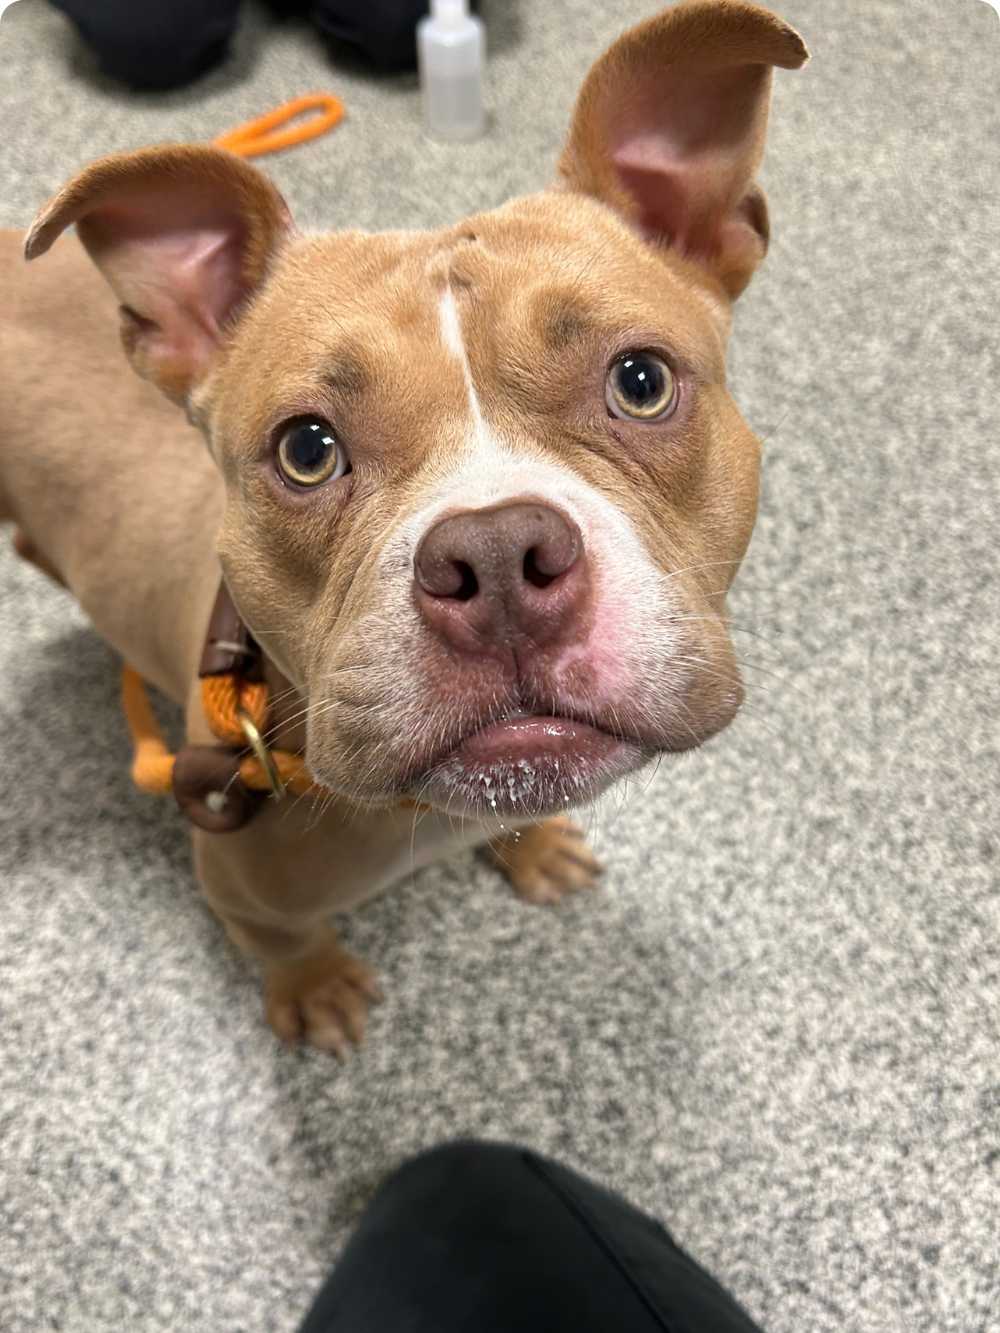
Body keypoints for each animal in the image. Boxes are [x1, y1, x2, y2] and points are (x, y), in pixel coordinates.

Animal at [0, 1, 807, 1053]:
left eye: (641, 380)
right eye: (306, 448)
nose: (498, 557)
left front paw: (534, 849)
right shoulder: (240, 891)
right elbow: (287, 942)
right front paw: (315, 988)